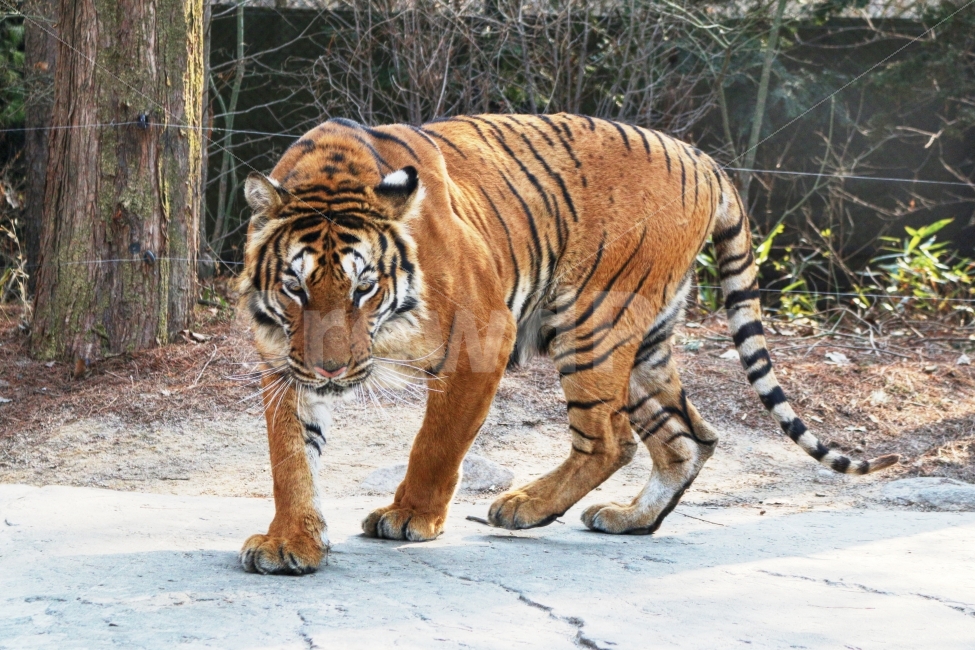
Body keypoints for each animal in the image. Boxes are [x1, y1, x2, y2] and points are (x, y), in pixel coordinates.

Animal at [237, 113, 899, 575]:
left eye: (364, 288)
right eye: (295, 286)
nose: (331, 371)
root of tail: (702, 157)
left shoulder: (484, 337)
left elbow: (436, 444)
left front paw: (410, 516)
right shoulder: (284, 361)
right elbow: (291, 458)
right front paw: (291, 542)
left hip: (591, 323)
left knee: (610, 440)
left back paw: (525, 506)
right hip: (644, 343)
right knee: (690, 437)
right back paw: (630, 519)